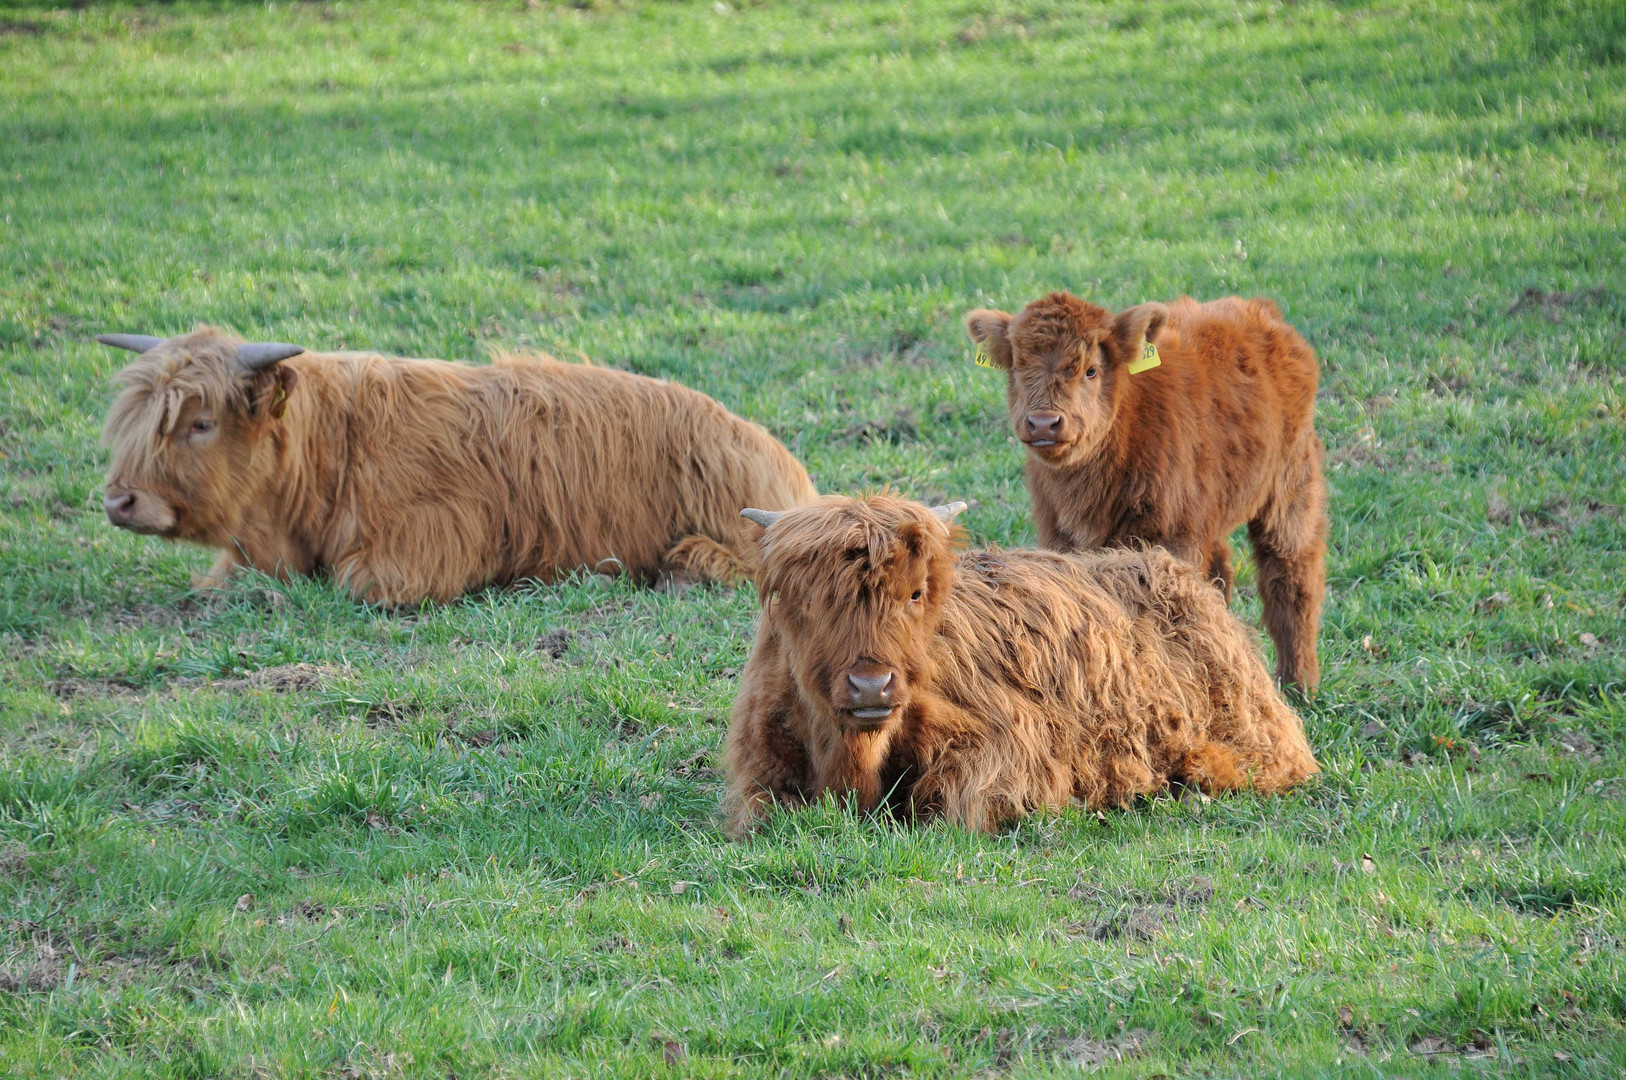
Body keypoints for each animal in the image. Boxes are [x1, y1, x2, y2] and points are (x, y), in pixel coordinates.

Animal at [725, 494, 1320, 839]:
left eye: (915, 593)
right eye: (812, 599)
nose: (872, 685)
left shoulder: (1008, 749)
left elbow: (952, 807)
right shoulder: (759, 765)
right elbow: (761, 814)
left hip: (1250, 728)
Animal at [962, 291, 1320, 686]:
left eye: (1091, 370)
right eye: (1017, 367)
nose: (1044, 422)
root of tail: (1258, 308)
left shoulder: (1172, 539)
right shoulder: (1059, 535)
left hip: (1291, 483)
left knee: (1290, 575)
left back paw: (1298, 683)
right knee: (1222, 575)